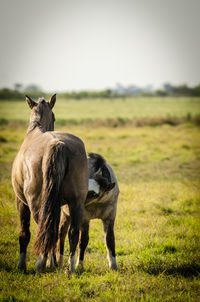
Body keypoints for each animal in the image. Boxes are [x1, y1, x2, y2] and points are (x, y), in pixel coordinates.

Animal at [11, 95, 88, 274]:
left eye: (54, 117)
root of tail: (57, 144)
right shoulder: (58, 204)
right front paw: (53, 262)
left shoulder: (21, 202)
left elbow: (24, 233)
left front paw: (22, 265)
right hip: (76, 202)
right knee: (72, 232)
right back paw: (70, 268)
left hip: (36, 202)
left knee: (44, 228)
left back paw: (41, 263)